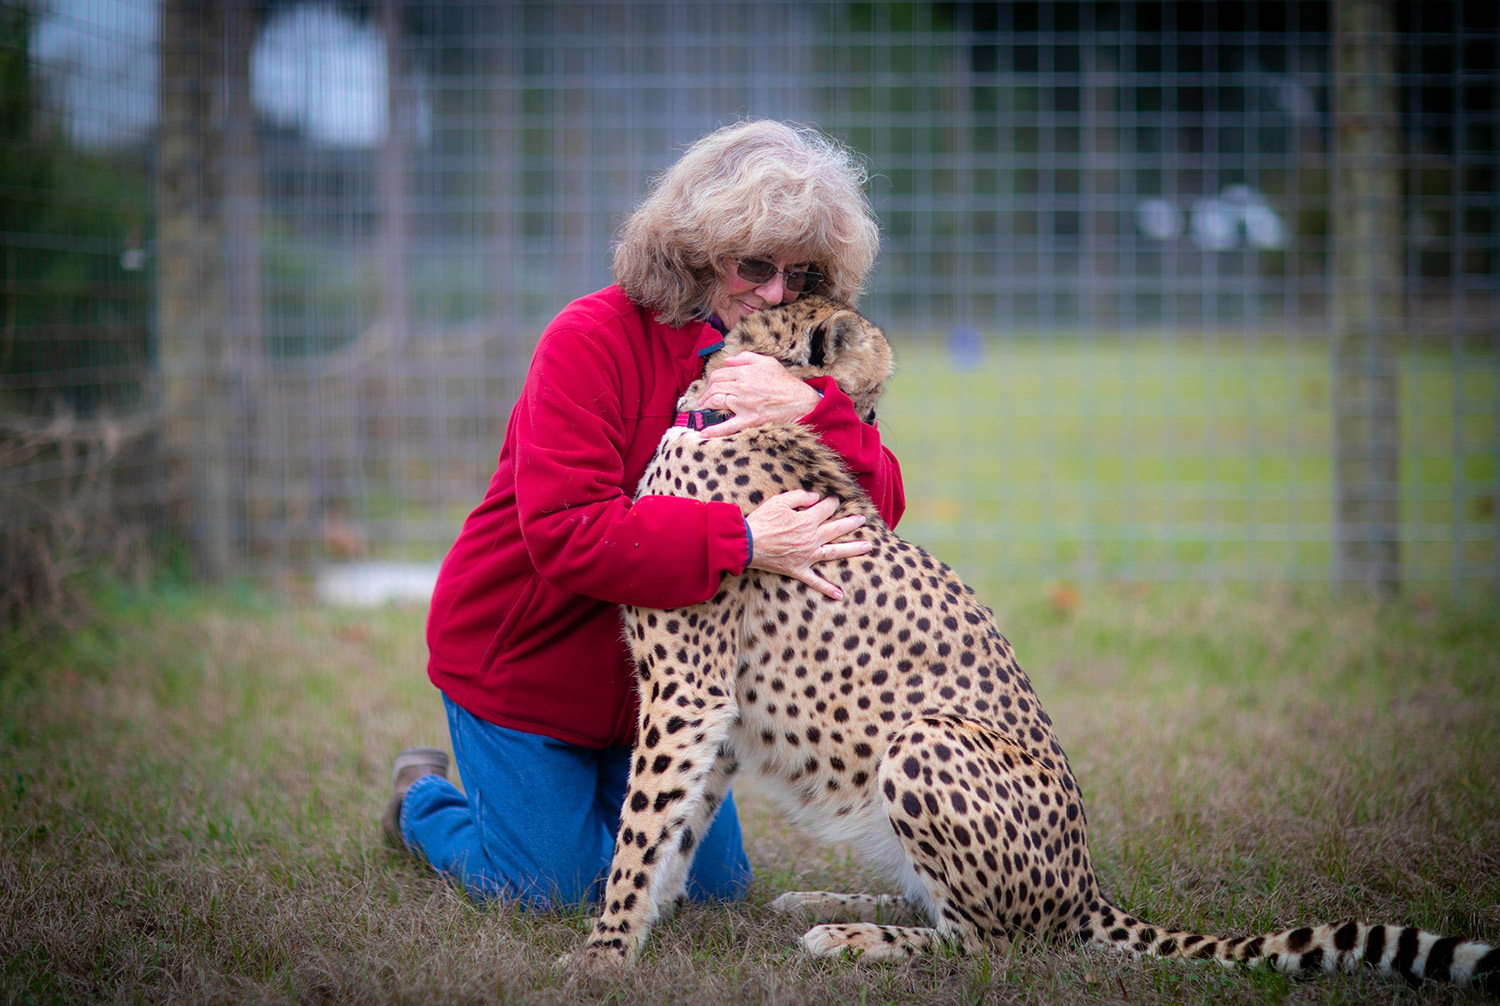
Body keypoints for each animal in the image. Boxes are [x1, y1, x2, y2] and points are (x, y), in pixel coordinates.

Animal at [567, 293, 1494, 989]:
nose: (864, 424)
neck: (731, 409)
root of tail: (1087, 887)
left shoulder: (688, 691)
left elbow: (644, 826)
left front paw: (602, 953)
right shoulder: (712, 708)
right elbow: (675, 828)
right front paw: (640, 927)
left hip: (925, 742)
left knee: (993, 944)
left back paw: (852, 937)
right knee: (949, 908)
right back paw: (825, 903)